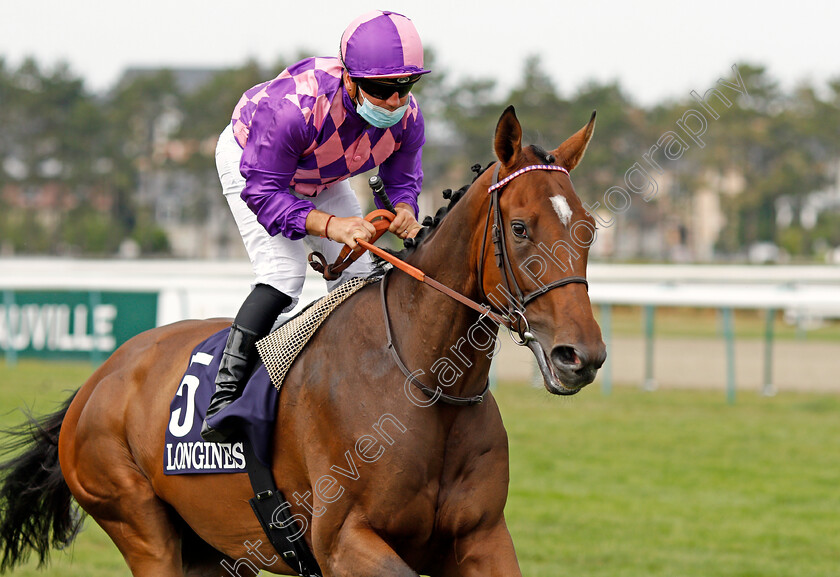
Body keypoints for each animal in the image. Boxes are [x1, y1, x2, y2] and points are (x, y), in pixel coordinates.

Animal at [0, 107, 604, 576]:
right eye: (520, 228)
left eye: (590, 228)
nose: (581, 357)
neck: (425, 382)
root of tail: (97, 381)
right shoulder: (342, 541)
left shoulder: (481, 536)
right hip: (139, 523)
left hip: (210, 549)